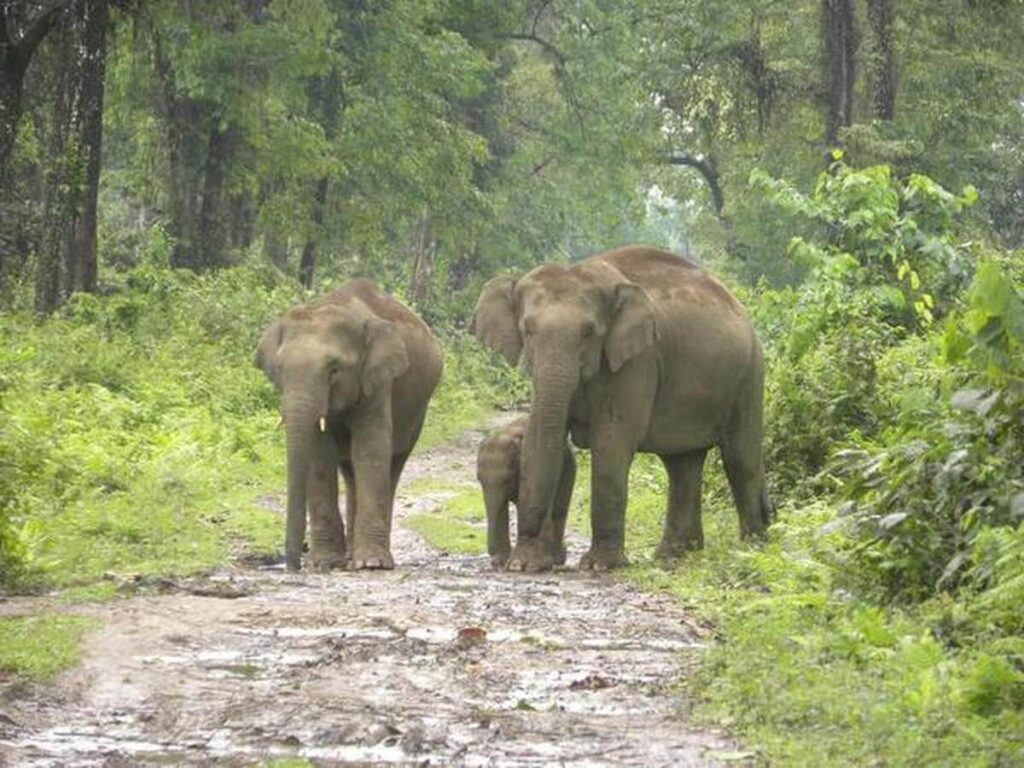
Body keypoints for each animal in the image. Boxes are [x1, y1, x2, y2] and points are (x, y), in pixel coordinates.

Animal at [256, 278, 443, 571]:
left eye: (334, 369)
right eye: (279, 368)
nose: (294, 566)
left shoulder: (377, 380)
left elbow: (370, 448)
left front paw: (371, 564)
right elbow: (320, 455)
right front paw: (326, 563)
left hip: (417, 413)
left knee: (393, 463)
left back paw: (368, 556)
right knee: (350, 469)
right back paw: (352, 555)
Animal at [476, 416, 575, 570]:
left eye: (507, 479)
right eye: (478, 478)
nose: (490, 551)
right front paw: (499, 561)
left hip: (569, 467)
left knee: (559, 509)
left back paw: (557, 559)